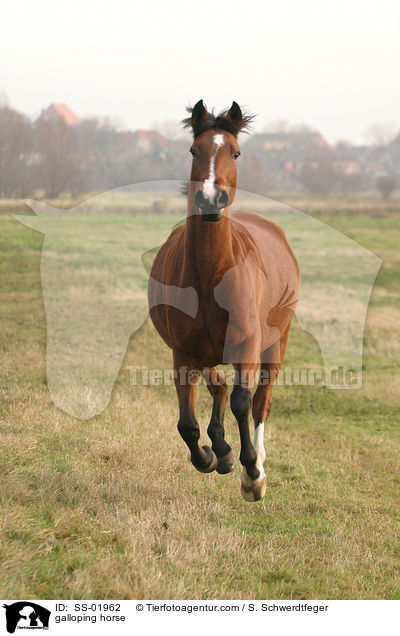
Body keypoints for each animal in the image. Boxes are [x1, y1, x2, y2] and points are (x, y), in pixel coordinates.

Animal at [148, 100, 298, 502]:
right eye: (193, 150)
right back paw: (222, 449)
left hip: (276, 342)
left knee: (261, 401)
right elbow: (187, 423)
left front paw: (251, 472)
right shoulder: (184, 353)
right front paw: (213, 457)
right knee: (218, 387)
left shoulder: (247, 345)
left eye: (235, 151)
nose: (210, 200)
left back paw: (254, 467)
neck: (210, 278)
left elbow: (243, 403)